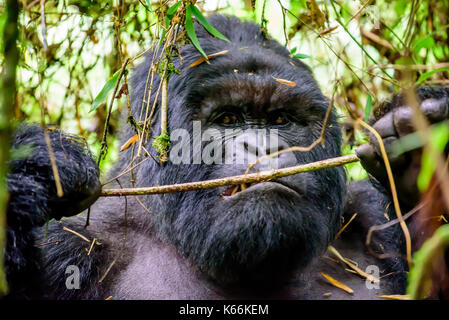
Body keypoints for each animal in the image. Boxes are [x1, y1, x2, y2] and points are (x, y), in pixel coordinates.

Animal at [3, 15, 448, 300]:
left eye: (280, 119)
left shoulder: (368, 211)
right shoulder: (71, 245)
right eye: (229, 119)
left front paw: (423, 155)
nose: (264, 148)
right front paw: (32, 169)